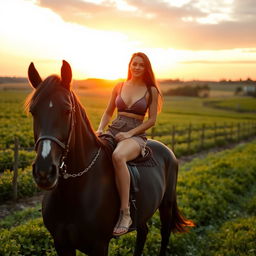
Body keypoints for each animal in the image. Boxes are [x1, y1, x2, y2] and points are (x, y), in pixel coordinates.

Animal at [26, 60, 193, 256]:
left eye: (67, 110)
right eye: (33, 111)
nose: (44, 172)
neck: (75, 189)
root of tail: (167, 150)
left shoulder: (99, 245)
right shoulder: (61, 243)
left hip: (166, 205)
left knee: (164, 233)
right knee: (143, 232)